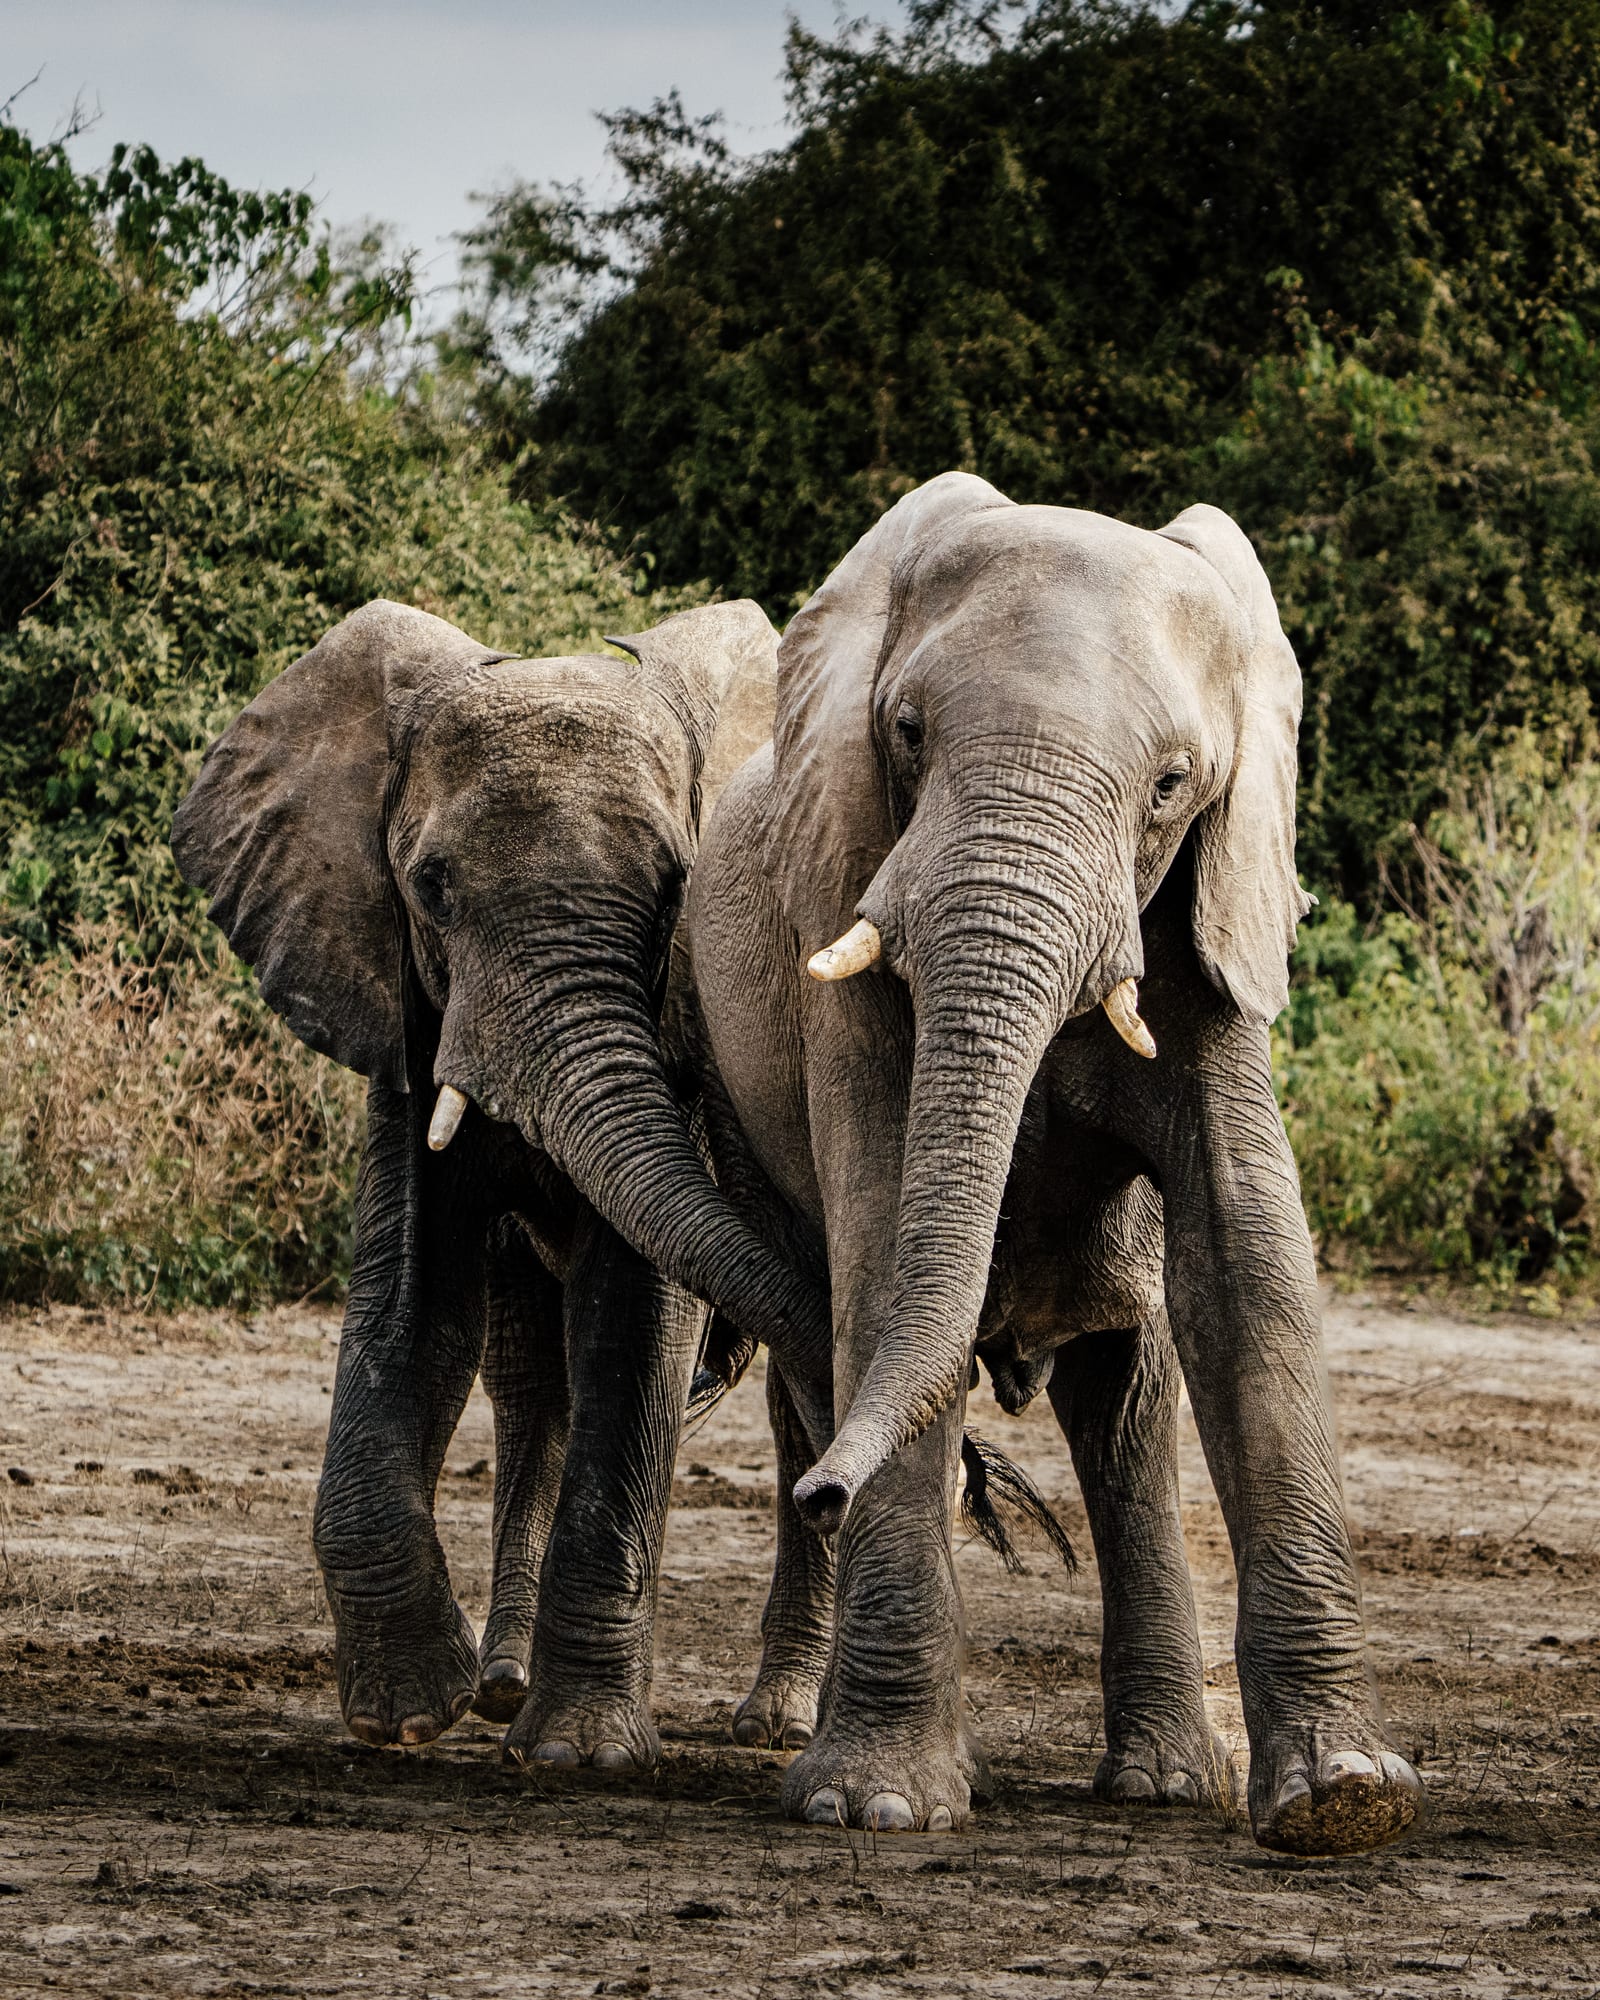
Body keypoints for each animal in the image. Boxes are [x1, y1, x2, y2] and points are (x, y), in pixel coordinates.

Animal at [171, 595, 830, 1765]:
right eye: (430, 888)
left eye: (676, 886)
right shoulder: (398, 1005)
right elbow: (409, 1306)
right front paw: (405, 1712)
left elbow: (633, 1324)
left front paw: (581, 1752)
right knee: (529, 1377)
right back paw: (500, 1687)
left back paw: (777, 1722)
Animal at [662, 472, 1425, 1855]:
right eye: (907, 732)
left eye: (1173, 783)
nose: (826, 1493)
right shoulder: (845, 907)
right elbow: (881, 1246)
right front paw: (876, 1803)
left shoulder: (1212, 927)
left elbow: (1248, 1270)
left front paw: (1345, 1799)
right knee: (815, 1352)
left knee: (1125, 1394)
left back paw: (1165, 1779)